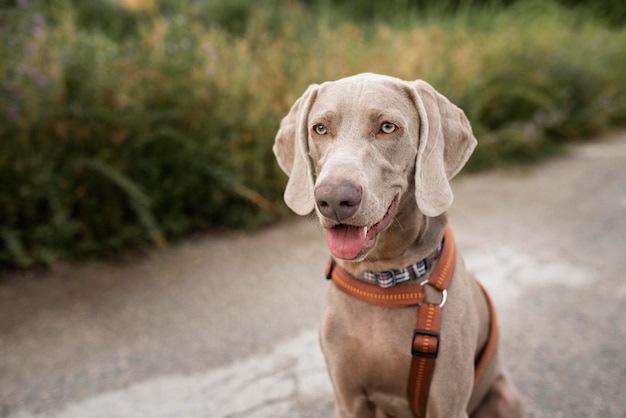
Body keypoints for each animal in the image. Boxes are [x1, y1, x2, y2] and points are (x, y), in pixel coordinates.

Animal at [272, 73, 520, 416]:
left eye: (387, 127)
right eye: (319, 128)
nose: (333, 199)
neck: (383, 279)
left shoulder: (449, 404)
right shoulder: (348, 401)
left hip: (506, 398)